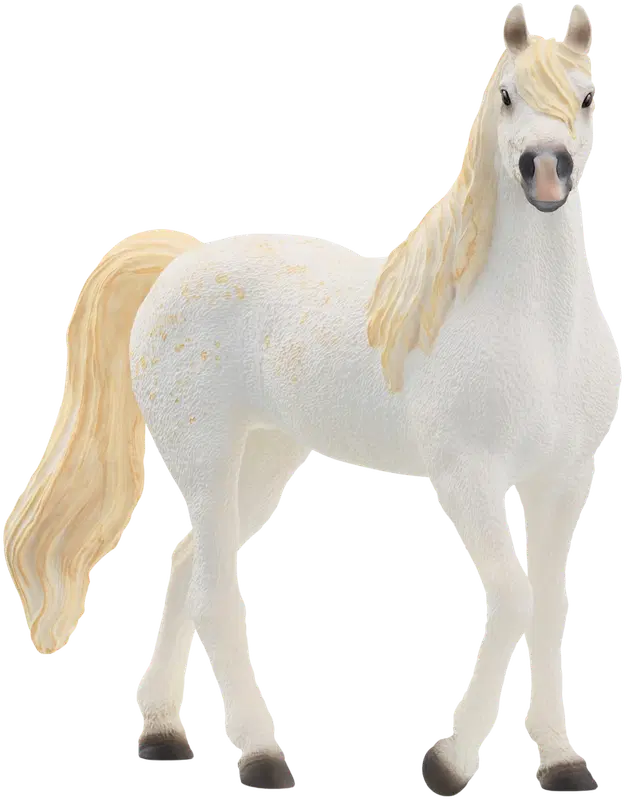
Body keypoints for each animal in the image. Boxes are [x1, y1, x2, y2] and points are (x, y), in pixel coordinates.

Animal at [1, 3, 620, 794]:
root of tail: (180, 263)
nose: (546, 169)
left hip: (265, 458)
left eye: (587, 96)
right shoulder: (468, 476)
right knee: (213, 594)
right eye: (507, 95)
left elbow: (546, 610)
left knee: (184, 571)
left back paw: (163, 734)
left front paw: (563, 760)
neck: (534, 329)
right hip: (207, 459)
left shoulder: (562, 479)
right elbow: (513, 599)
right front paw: (447, 763)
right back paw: (262, 757)